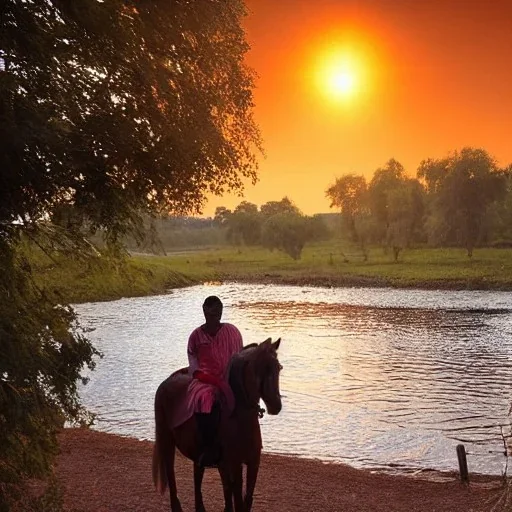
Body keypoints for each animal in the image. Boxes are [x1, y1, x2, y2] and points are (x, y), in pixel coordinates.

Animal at [152, 338, 282, 510]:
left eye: (278, 367)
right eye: (260, 369)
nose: (276, 405)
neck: (240, 418)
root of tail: (167, 382)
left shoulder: (252, 463)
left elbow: (245, 499)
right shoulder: (234, 464)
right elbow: (237, 500)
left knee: (198, 476)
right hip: (167, 440)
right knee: (171, 475)